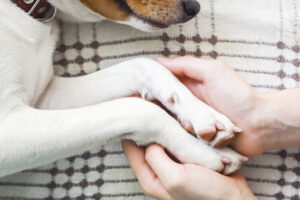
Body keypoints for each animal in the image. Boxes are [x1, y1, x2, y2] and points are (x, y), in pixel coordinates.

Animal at [0, 0, 246, 178]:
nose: (194, 7)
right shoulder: (10, 129)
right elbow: (139, 110)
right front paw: (206, 152)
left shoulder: (45, 95)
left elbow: (144, 65)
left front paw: (205, 116)